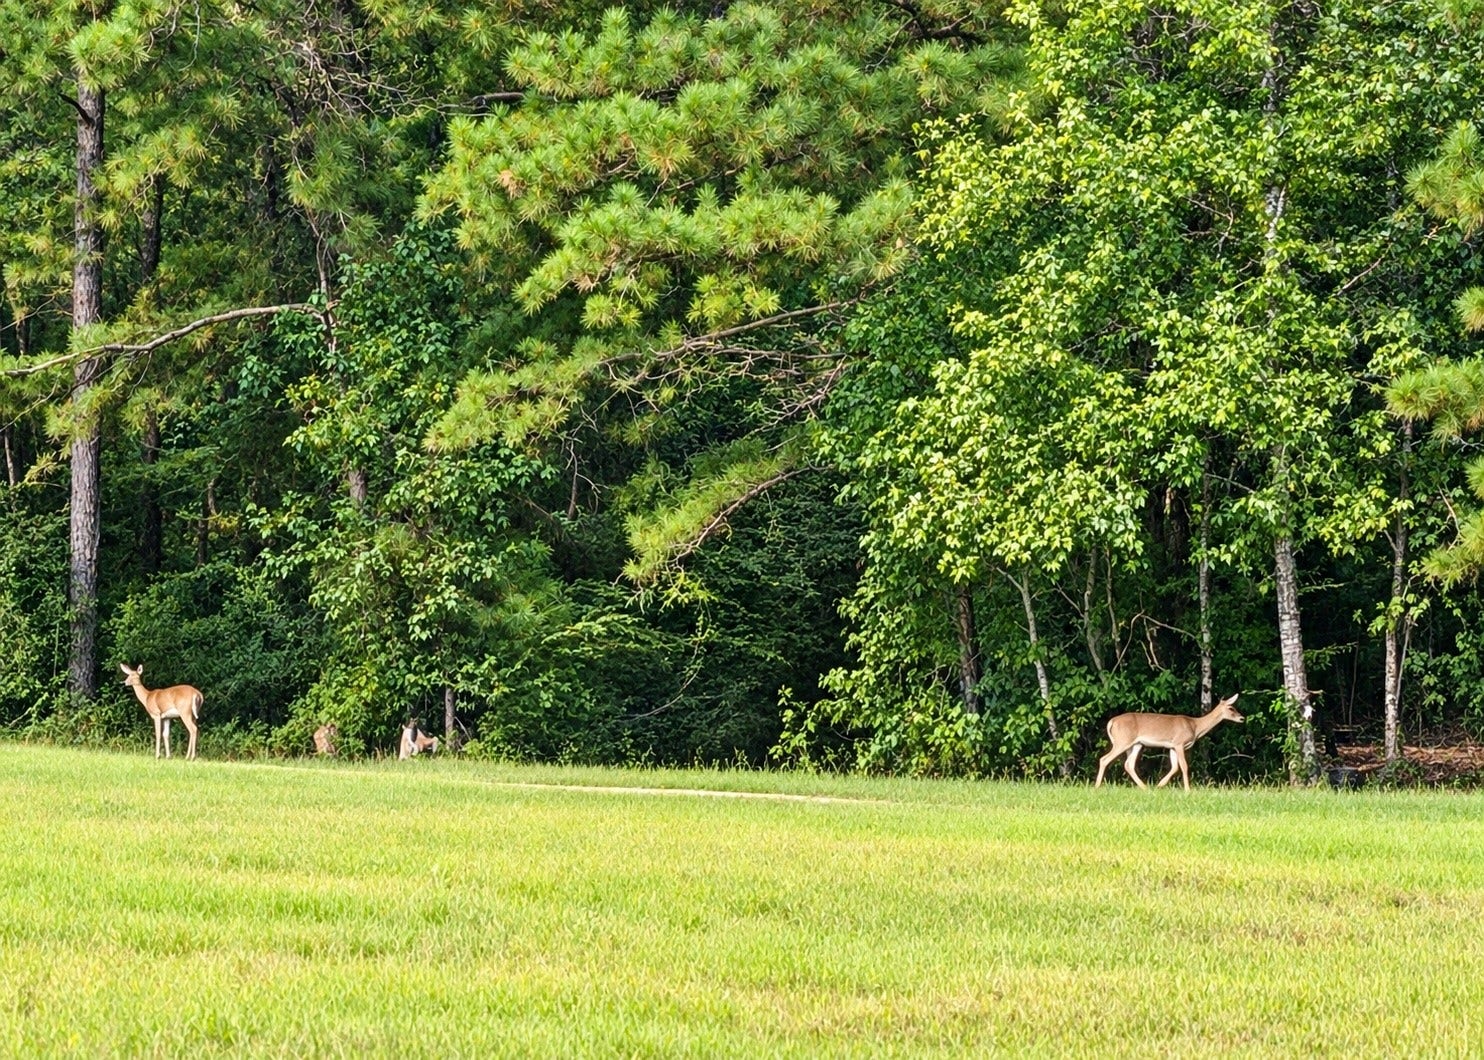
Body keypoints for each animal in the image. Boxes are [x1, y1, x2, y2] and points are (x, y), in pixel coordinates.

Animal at [1095, 693, 1243, 791]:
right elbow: (1184, 766)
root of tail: (1112, 722)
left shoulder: (1172, 746)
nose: (1242, 718)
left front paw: (1160, 784)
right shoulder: (1179, 743)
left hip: (1135, 744)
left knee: (1128, 764)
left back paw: (1145, 787)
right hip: (1122, 741)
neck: (1195, 726)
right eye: (1231, 708)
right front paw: (1188, 790)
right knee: (1104, 759)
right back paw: (1097, 786)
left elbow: (1175, 767)